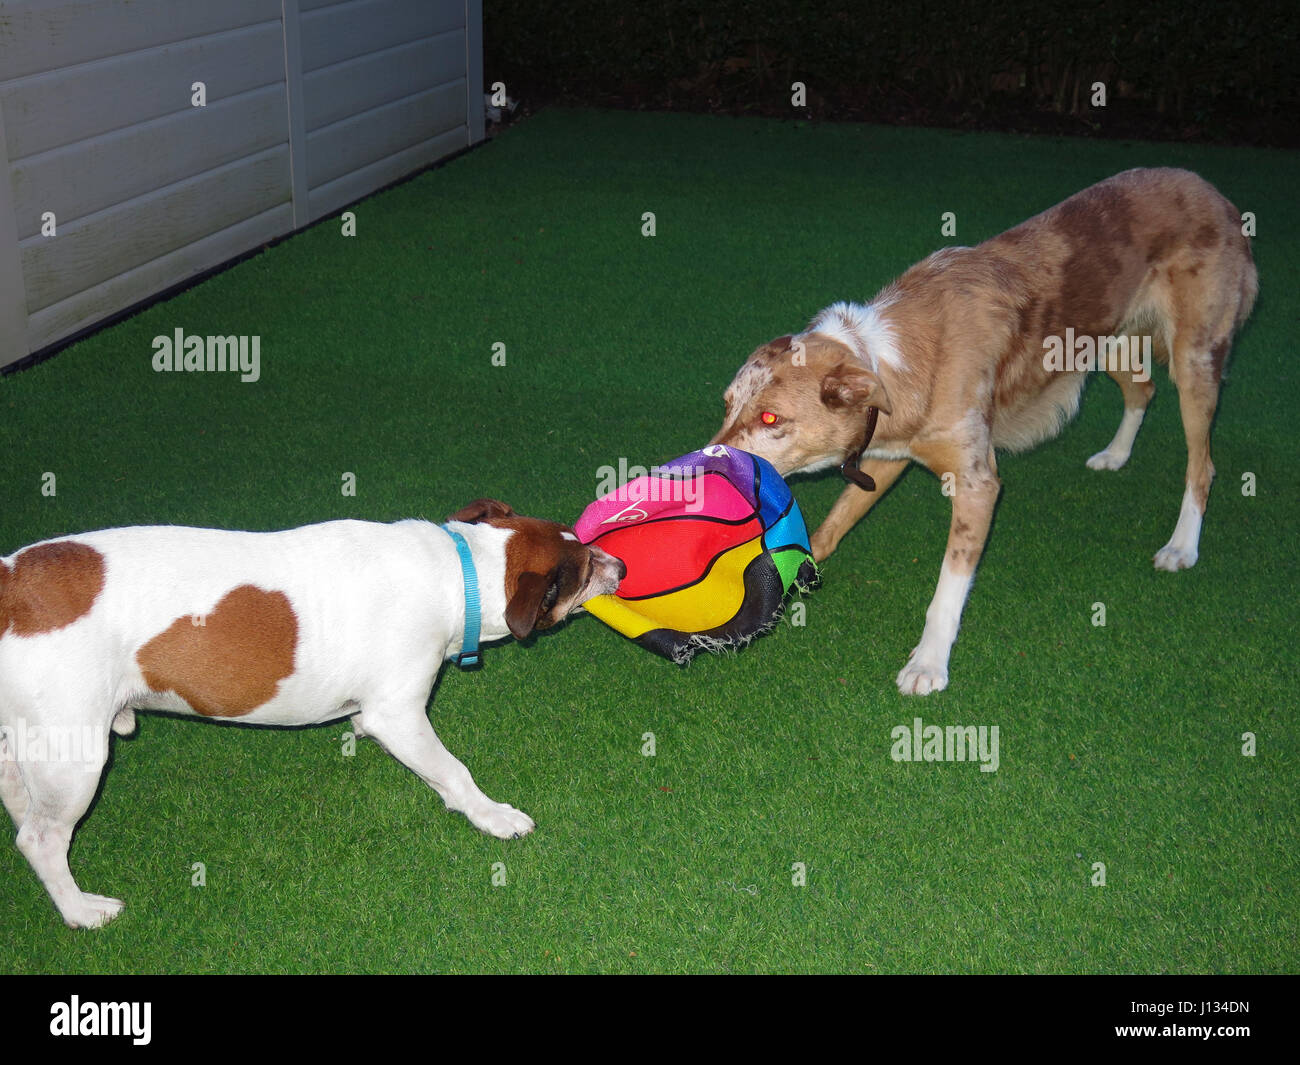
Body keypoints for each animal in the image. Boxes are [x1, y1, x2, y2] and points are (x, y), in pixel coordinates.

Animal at [0, 499, 624, 925]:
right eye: (584, 569)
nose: (620, 565)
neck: (458, 569)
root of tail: (10, 582)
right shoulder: (399, 716)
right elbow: (454, 772)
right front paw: (493, 815)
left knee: (22, 810)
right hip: (76, 756)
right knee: (41, 839)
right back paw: (80, 910)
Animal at [717, 166, 1253, 696]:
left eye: (771, 419)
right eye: (727, 404)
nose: (707, 467)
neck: (886, 361)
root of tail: (1214, 193)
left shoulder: (978, 484)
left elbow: (947, 589)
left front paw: (929, 665)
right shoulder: (887, 458)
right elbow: (829, 529)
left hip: (1193, 359)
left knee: (1201, 465)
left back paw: (1182, 547)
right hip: (1106, 341)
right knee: (1142, 390)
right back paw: (1116, 455)